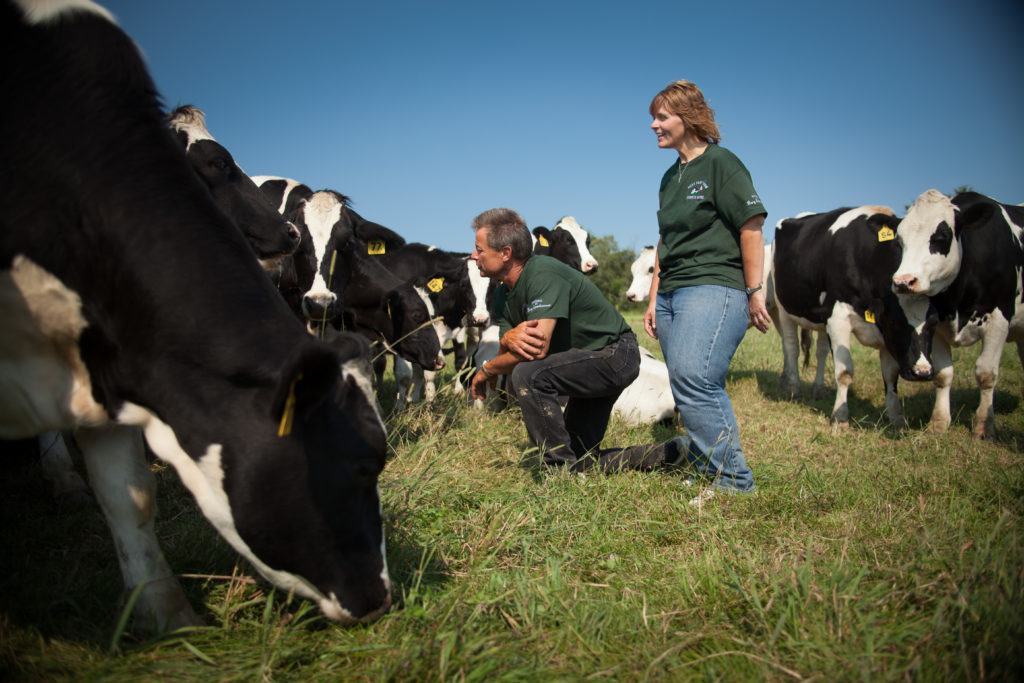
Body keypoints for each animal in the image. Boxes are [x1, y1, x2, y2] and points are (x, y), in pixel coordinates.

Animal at [770, 205, 937, 430]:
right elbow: (844, 372)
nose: (923, 372)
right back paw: (794, 389)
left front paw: (896, 418)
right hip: (785, 309)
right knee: (792, 348)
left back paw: (818, 389)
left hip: (821, 320)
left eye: (933, 323)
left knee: (821, 352)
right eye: (897, 323)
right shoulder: (838, 318)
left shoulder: (882, 335)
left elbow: (890, 375)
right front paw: (840, 418)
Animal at [888, 189, 1024, 440]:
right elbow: (943, 374)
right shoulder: (937, 325)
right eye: (899, 240)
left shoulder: (999, 320)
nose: (903, 282)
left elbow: (986, 373)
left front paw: (983, 427)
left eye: (942, 235)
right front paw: (939, 423)